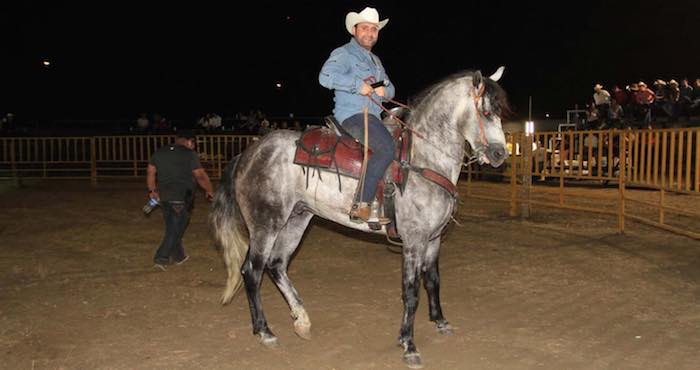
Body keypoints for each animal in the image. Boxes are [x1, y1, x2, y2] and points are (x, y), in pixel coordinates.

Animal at [211, 67, 512, 368]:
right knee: (253, 271)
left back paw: (302, 320)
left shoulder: (434, 238)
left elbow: (433, 280)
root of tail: (248, 153)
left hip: (297, 219)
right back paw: (264, 331)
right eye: (486, 112)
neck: (422, 160)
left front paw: (440, 321)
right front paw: (408, 344)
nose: (500, 154)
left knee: (277, 265)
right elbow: (411, 290)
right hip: (266, 224)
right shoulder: (414, 241)